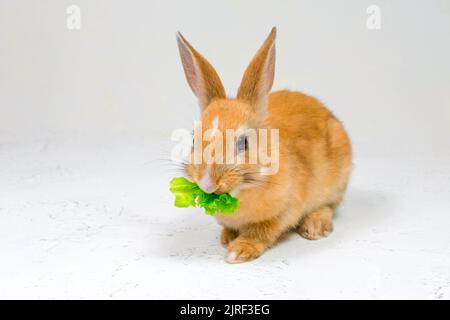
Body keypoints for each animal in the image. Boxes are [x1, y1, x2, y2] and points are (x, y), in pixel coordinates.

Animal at [176, 26, 352, 262]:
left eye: (243, 142)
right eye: (194, 139)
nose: (207, 184)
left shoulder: (284, 211)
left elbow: (262, 231)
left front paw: (238, 252)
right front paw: (226, 237)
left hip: (337, 183)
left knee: (329, 206)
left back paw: (314, 227)